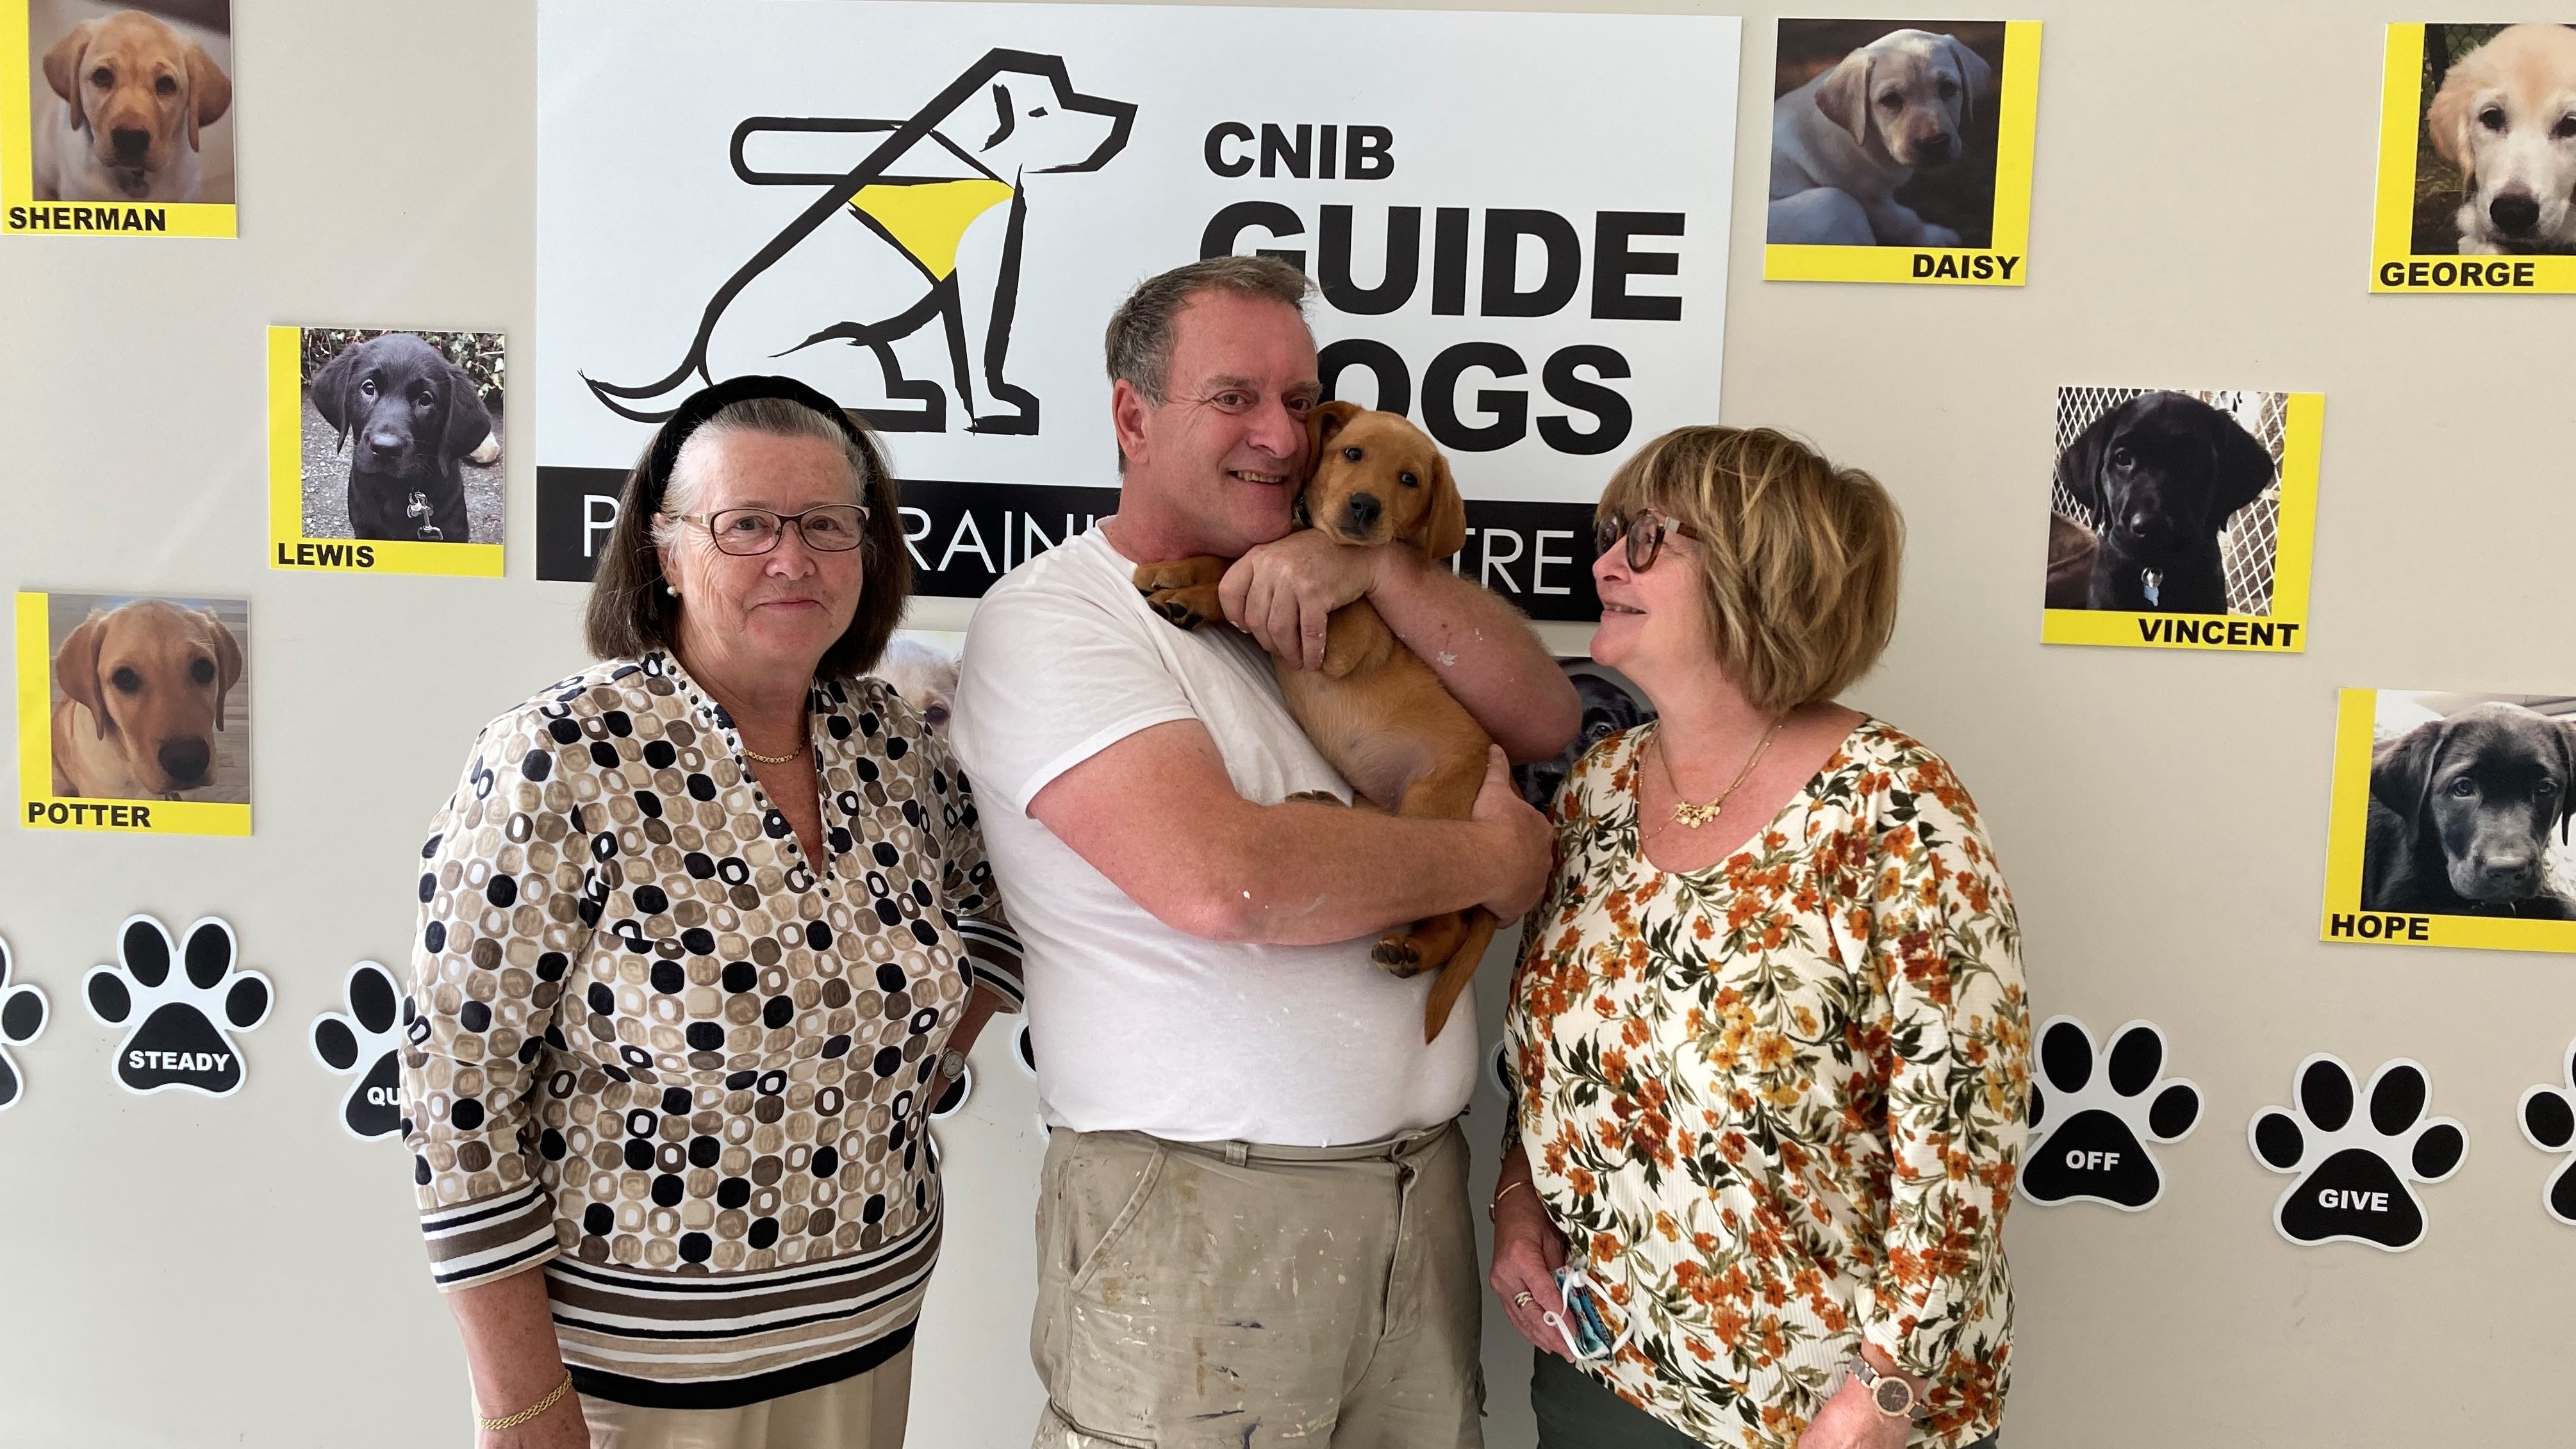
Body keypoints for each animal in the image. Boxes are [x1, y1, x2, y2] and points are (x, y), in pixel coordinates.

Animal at [1772, 28, 1988, 249]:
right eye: (1890, 99)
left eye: (1948, 88)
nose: (1935, 144)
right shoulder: (1873, 200)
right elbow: (1905, 222)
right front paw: (1936, 237)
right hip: (1837, 204)